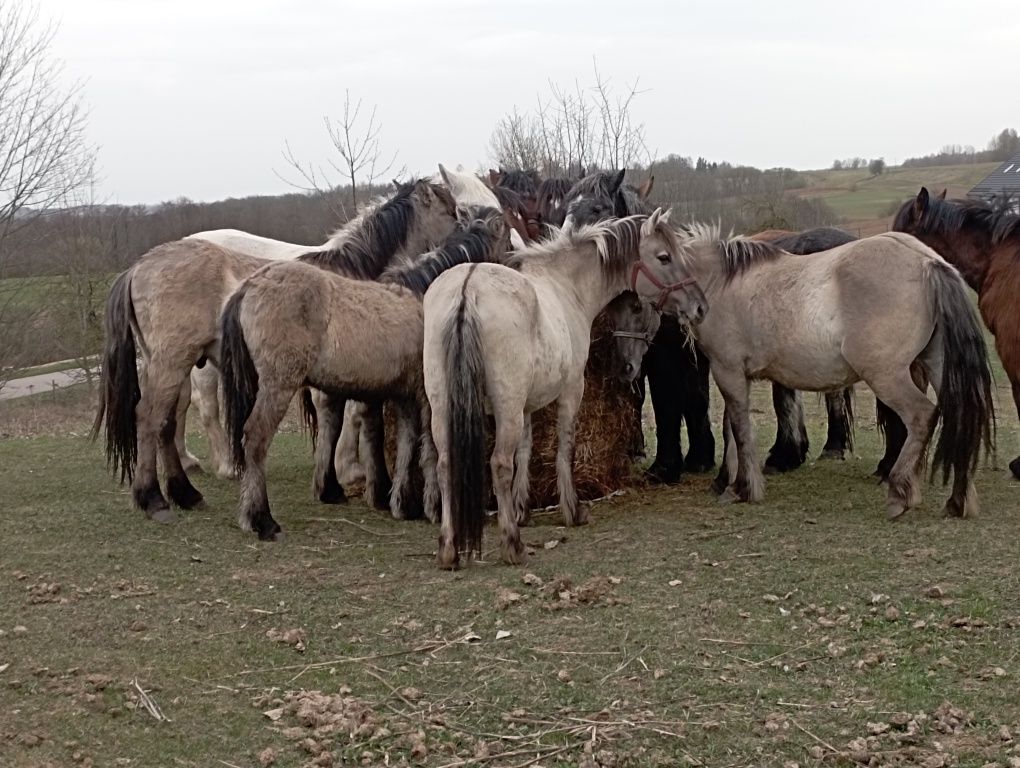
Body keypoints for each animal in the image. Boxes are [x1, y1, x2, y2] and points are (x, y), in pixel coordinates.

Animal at [93, 175, 461, 522]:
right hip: (174, 363)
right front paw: (343, 478)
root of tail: (138, 267)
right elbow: (341, 421)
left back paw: (186, 493)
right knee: (151, 417)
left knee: (167, 423)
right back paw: (155, 498)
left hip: (170, 365)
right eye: (451, 211)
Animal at [221, 205, 510, 538]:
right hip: (278, 385)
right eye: (506, 244)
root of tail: (248, 287)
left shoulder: (405, 397)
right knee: (256, 437)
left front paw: (403, 504)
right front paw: (434, 507)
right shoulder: (426, 396)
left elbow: (408, 445)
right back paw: (262, 519)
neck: (422, 295)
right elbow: (429, 449)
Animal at [422, 210, 709, 571]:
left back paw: (449, 549)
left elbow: (525, 451)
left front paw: (522, 508)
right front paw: (571, 509)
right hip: (505, 408)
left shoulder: (527, 407)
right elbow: (564, 448)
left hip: (446, 407)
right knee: (499, 464)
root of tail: (467, 289)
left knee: (445, 465)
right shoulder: (571, 391)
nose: (700, 307)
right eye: (664, 257)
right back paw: (512, 544)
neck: (566, 285)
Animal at [673, 224, 991, 518]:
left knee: (921, 416)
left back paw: (900, 493)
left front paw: (736, 486)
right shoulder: (737, 374)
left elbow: (736, 429)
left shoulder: (727, 370)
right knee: (960, 417)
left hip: (888, 377)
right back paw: (958, 500)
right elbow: (734, 426)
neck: (721, 281)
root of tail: (928, 262)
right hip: (936, 367)